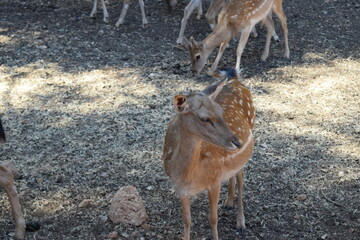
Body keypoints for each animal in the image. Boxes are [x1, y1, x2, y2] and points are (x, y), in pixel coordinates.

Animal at [163, 68, 256, 239]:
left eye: (220, 111)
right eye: (204, 118)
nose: (237, 142)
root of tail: (236, 80)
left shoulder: (214, 181)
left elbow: (213, 219)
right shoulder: (180, 188)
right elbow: (186, 220)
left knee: (241, 178)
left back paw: (241, 222)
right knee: (233, 175)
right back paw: (229, 201)